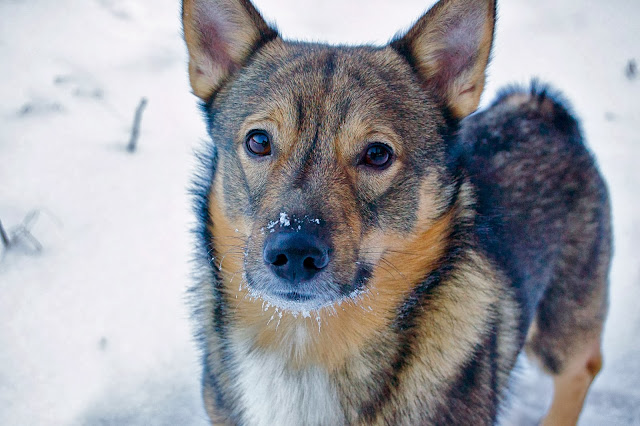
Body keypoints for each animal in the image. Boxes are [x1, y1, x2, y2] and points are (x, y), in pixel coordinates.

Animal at [182, 0, 612, 424]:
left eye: (377, 154)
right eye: (258, 142)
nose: (294, 252)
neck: (303, 344)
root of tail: (541, 109)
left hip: (561, 325)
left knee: (584, 366)